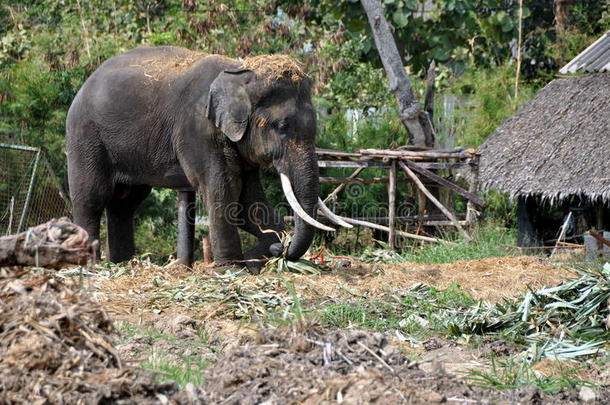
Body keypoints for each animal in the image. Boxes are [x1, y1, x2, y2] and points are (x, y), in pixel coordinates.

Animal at [65, 45, 346, 274]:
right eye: (282, 126)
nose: (282, 249)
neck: (239, 73)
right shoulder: (197, 129)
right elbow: (225, 190)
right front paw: (232, 269)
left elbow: (247, 199)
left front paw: (257, 259)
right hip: (86, 136)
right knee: (92, 196)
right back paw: (89, 266)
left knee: (125, 203)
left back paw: (122, 265)